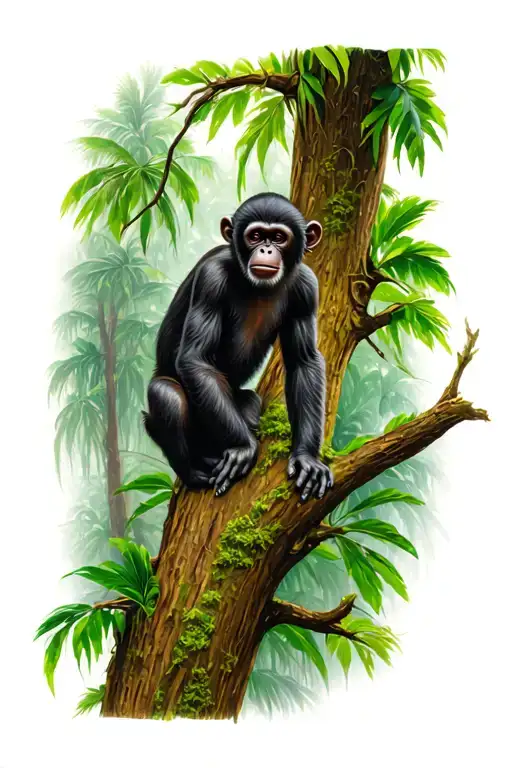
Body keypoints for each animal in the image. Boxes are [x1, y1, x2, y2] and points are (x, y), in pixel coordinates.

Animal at [143, 192, 333, 502]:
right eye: (255, 236)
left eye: (279, 237)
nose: (266, 249)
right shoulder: (211, 279)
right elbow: (196, 358)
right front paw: (244, 447)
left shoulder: (307, 288)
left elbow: (303, 361)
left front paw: (307, 458)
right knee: (165, 394)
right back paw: (195, 470)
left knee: (250, 402)